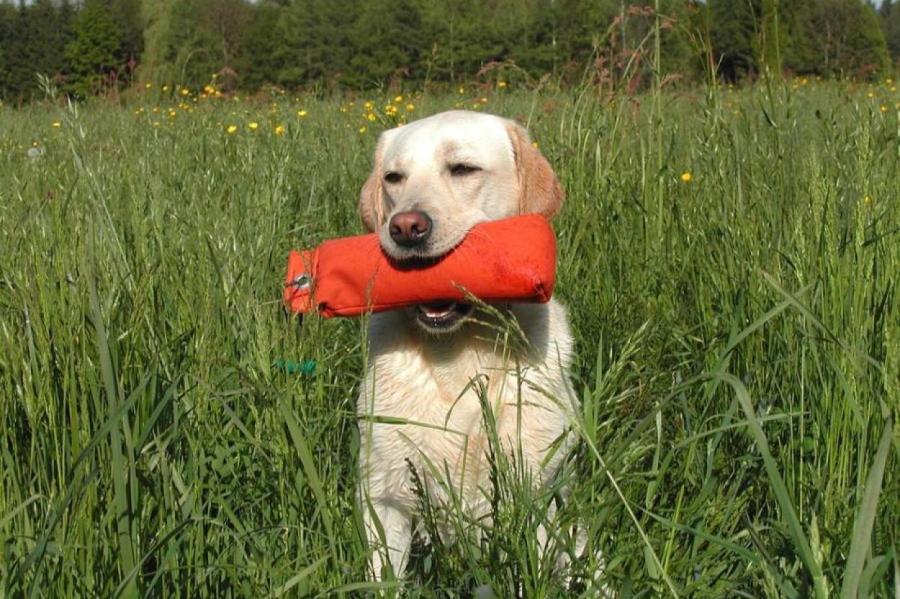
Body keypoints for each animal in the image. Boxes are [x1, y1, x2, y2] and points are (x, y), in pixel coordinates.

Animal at [356, 109, 576, 580]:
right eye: (393, 178)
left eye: (462, 169)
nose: (405, 227)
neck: (457, 355)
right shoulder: (383, 498)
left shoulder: (535, 494)